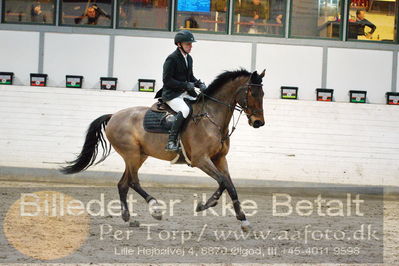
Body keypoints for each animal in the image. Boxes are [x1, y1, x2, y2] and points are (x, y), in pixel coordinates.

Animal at [61, 68, 266, 231]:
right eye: (252, 93)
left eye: (262, 94)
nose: (259, 122)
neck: (211, 118)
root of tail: (113, 116)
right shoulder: (201, 160)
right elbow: (223, 182)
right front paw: (205, 205)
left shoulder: (220, 159)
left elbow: (230, 185)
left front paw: (243, 221)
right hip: (131, 154)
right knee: (133, 182)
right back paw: (155, 209)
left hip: (139, 155)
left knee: (123, 183)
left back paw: (128, 217)